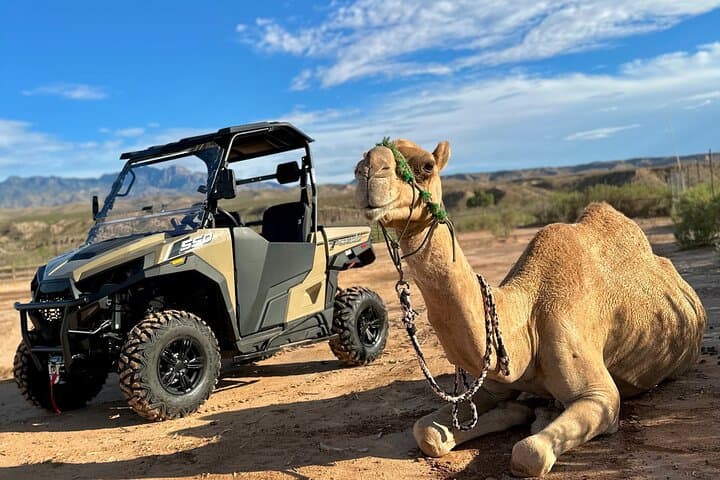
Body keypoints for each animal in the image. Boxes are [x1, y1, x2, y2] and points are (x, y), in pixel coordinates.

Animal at [353, 139, 706, 477]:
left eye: (426, 166)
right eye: (358, 162)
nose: (368, 171)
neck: (525, 322)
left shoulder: (602, 396)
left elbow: (529, 453)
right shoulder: (490, 384)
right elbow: (425, 432)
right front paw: (518, 411)